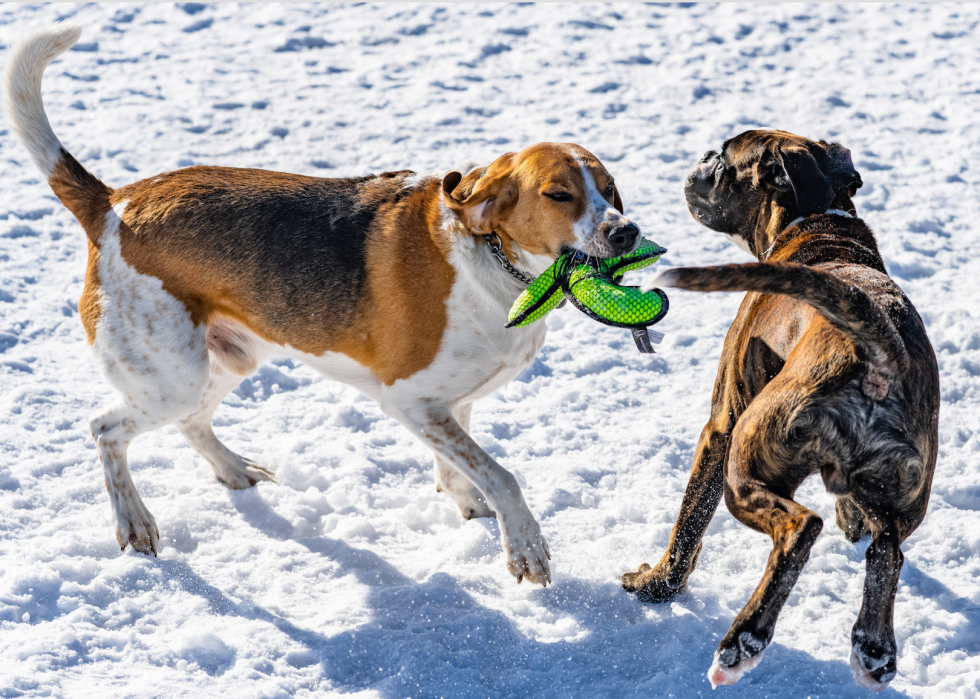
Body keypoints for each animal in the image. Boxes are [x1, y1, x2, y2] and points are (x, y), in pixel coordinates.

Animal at [624, 129, 936, 692]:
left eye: (724, 159)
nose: (702, 156)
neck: (818, 223)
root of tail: (878, 351)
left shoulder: (720, 427)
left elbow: (688, 526)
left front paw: (657, 586)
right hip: (903, 492)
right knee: (887, 551)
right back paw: (873, 649)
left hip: (748, 461)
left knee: (798, 530)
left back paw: (742, 642)